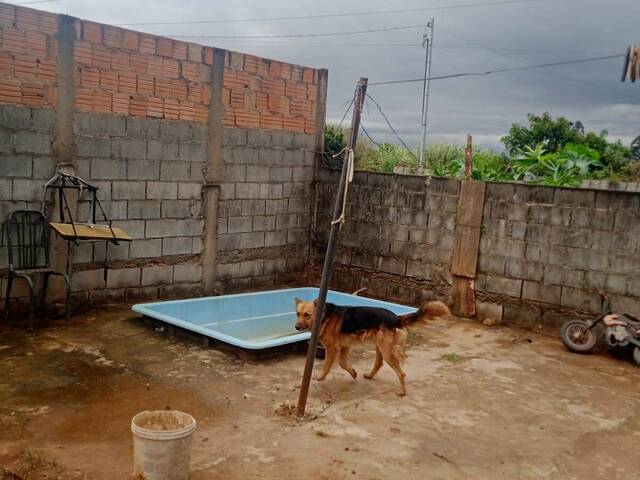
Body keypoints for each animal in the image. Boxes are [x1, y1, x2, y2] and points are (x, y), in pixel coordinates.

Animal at [296, 298, 450, 396]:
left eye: (307, 315)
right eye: (298, 314)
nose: (296, 326)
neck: (324, 316)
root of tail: (396, 318)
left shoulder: (332, 349)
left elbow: (326, 367)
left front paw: (318, 378)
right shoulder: (345, 346)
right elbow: (343, 363)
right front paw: (353, 372)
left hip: (386, 351)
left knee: (401, 373)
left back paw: (402, 391)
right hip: (380, 347)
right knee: (379, 363)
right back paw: (370, 375)